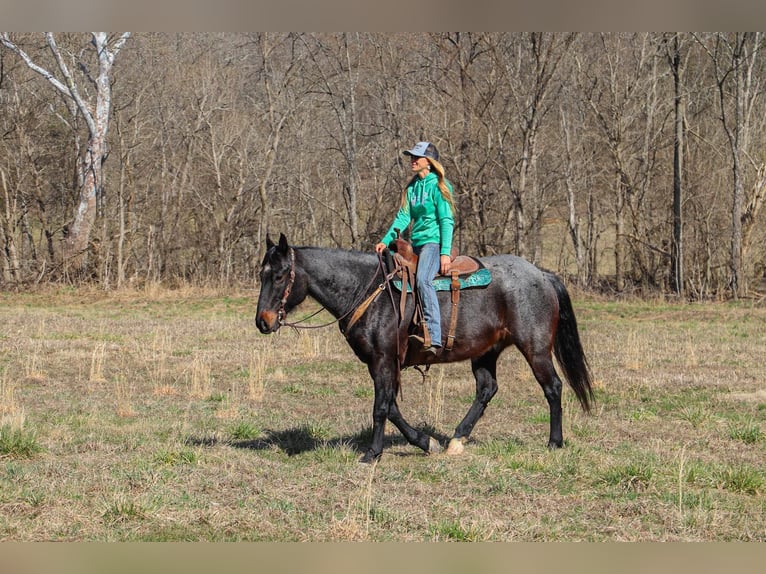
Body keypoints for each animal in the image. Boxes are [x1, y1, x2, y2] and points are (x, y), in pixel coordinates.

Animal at [255, 233, 596, 464]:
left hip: (535, 349)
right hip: (487, 351)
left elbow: (381, 408)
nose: (263, 321)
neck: (367, 289)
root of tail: (542, 275)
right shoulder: (382, 364)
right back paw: (457, 439)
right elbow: (391, 406)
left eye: (281, 275)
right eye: (261, 275)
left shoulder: (383, 361)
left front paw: (372, 453)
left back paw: (554, 442)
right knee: (487, 389)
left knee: (552, 387)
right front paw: (425, 442)